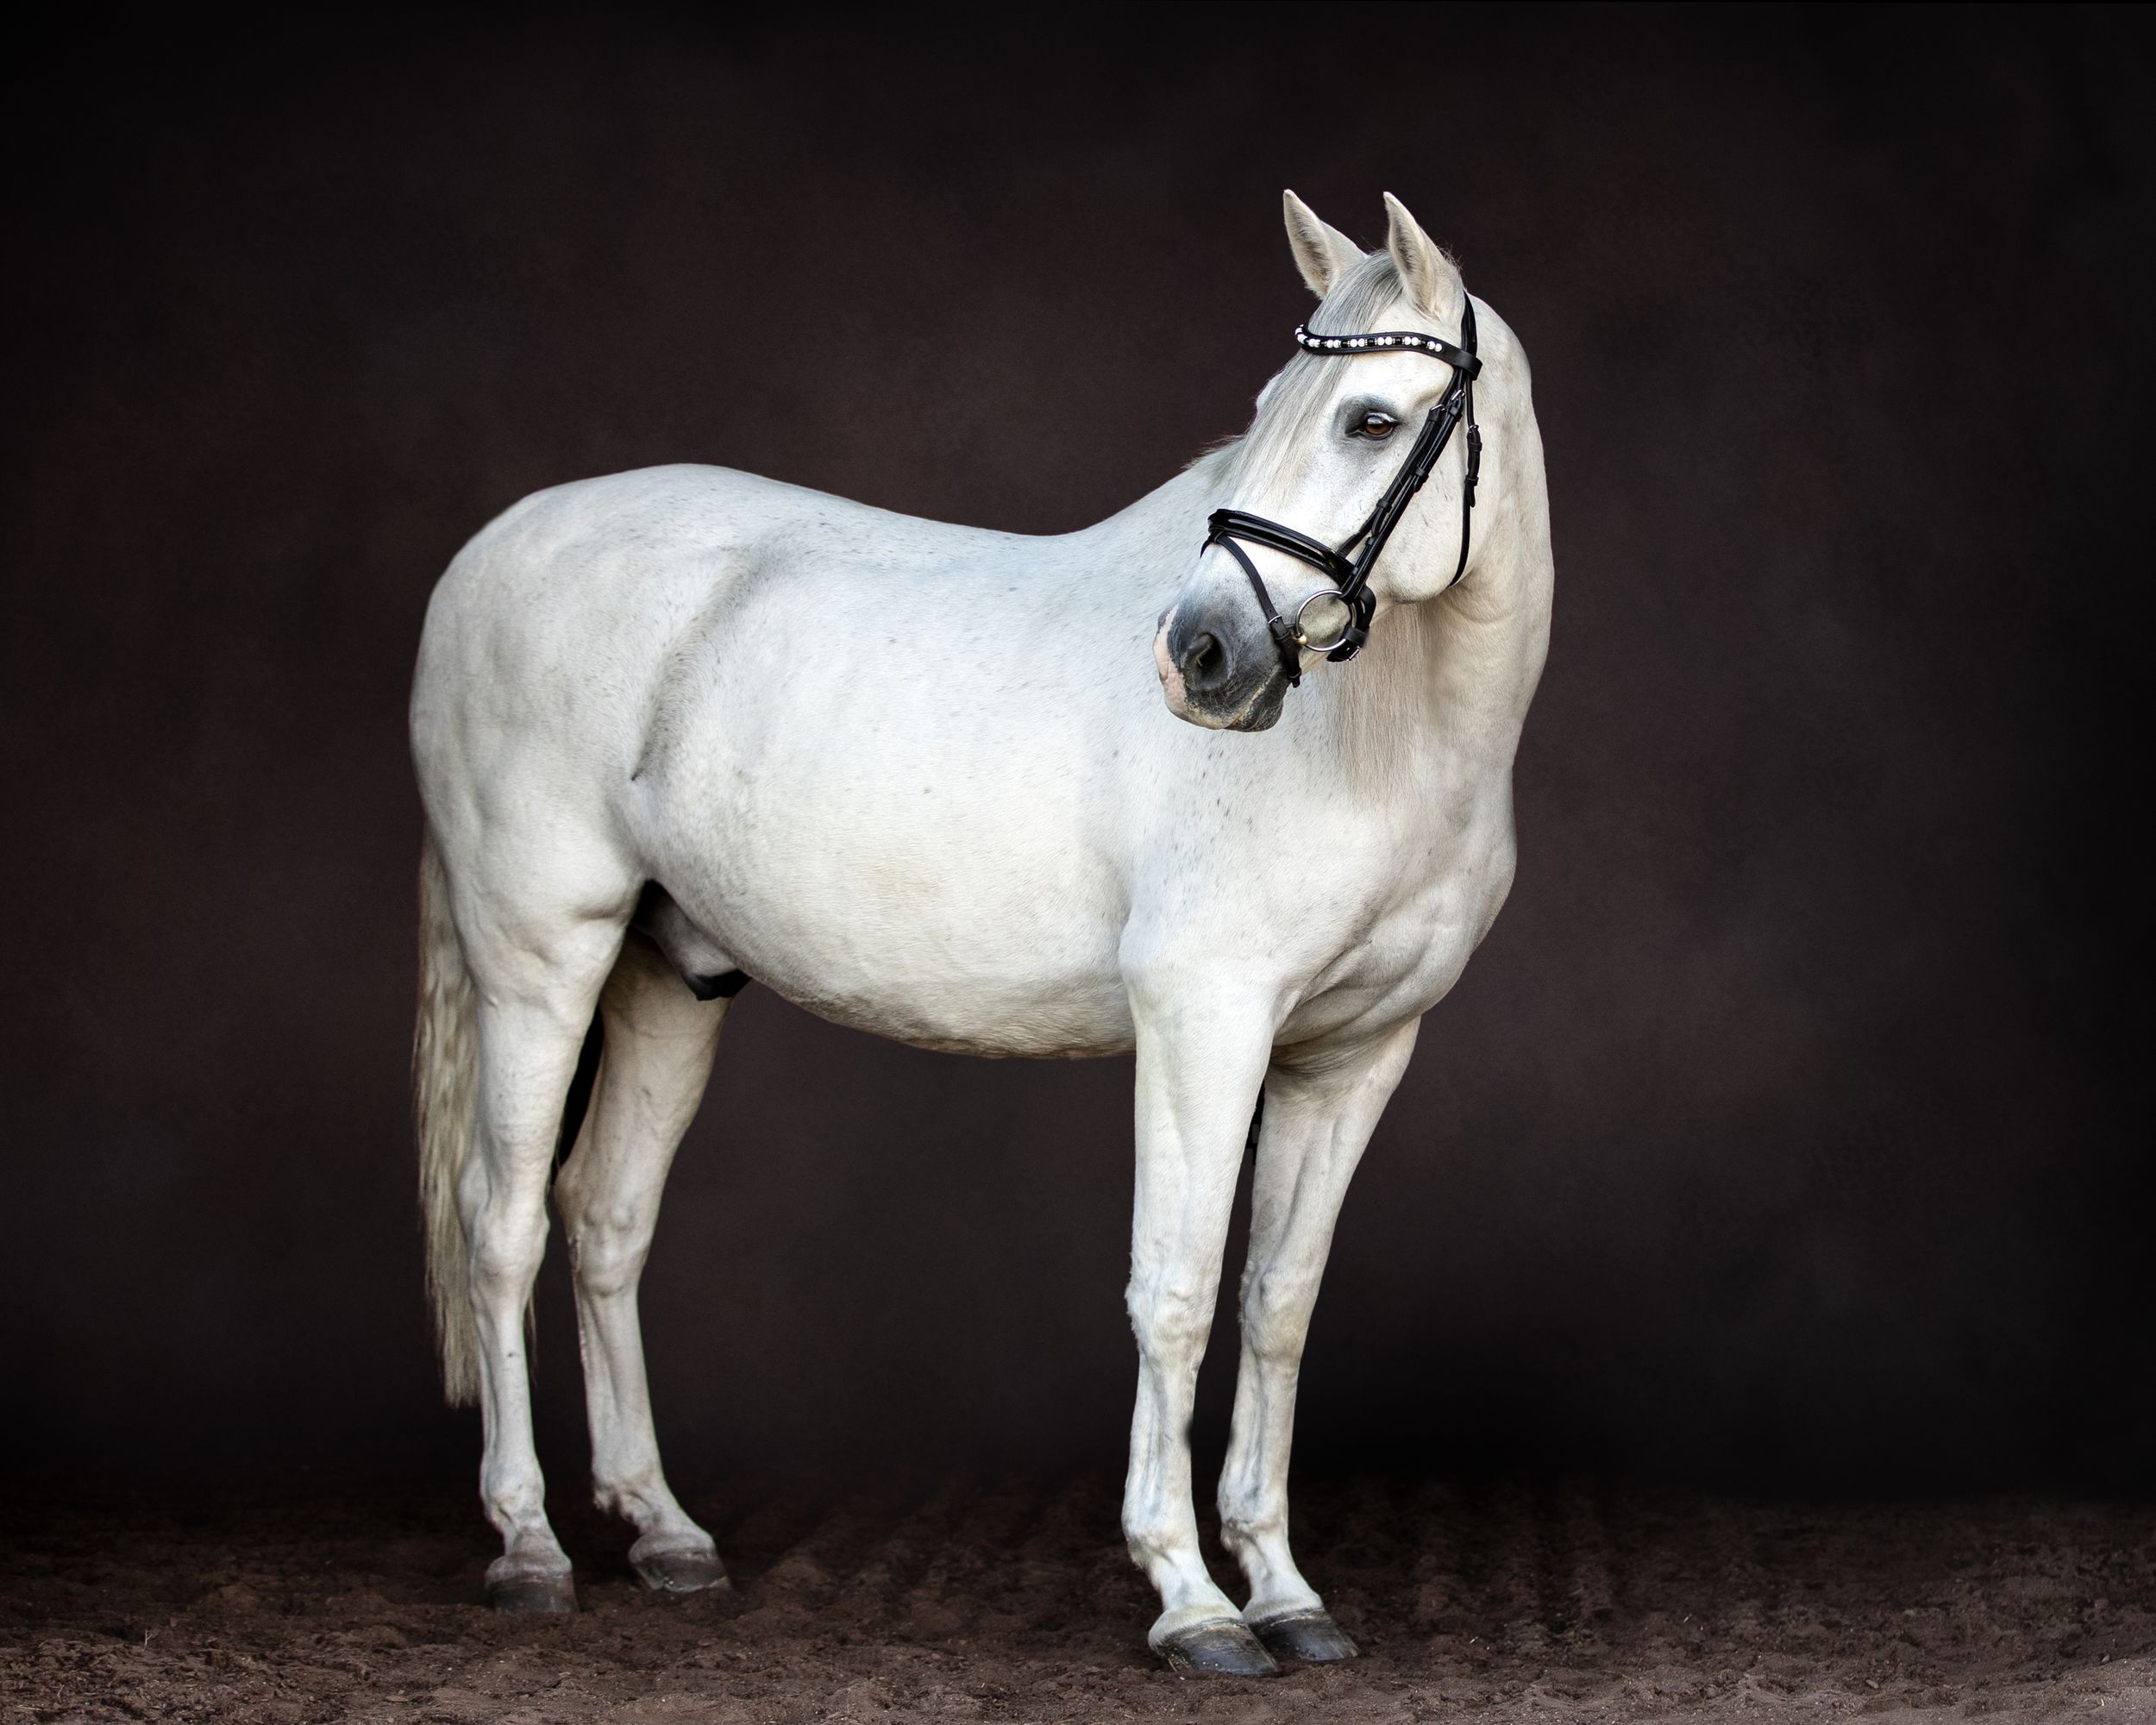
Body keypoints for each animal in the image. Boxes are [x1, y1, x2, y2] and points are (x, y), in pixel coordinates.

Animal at [409, 190, 1552, 1676]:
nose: (1199, 656)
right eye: (1268, 407)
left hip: (670, 978)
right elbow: (1175, 1292)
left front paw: (1287, 1591)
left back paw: (663, 1534)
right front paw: (1192, 1602)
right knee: (498, 1227)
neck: (1381, 741)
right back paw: (530, 1546)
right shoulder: (1204, 1021)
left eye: (1368, 417)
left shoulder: (1355, 1054)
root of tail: (490, 550)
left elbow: (1277, 1303)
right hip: (538, 963)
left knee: (604, 1220)